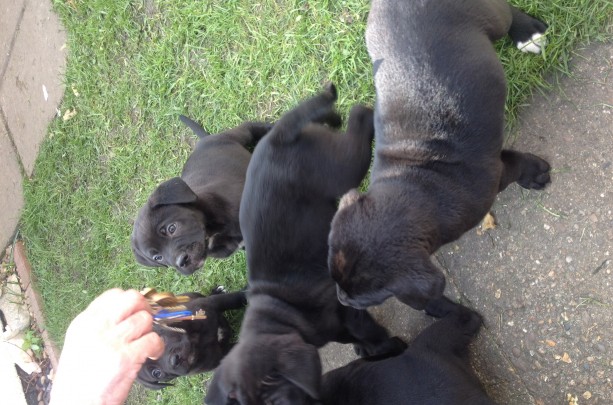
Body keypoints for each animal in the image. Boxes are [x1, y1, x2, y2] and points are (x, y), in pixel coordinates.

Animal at [131, 115, 270, 276]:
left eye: (172, 228)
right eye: (157, 257)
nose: (182, 262)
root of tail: (204, 140)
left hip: (240, 135)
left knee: (252, 127)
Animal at [206, 83, 406, 402]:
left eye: (275, 402)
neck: (281, 314)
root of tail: (275, 139)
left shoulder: (346, 312)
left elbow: (369, 332)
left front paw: (387, 347)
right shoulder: (337, 324)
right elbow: (354, 336)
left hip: (342, 168)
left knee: (359, 116)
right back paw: (332, 117)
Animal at [330, 0, 548, 310]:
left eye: (362, 302)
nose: (340, 299)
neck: (418, 180)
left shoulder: (494, 179)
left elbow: (515, 165)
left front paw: (534, 173)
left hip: (489, 17)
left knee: (506, 16)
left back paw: (527, 33)